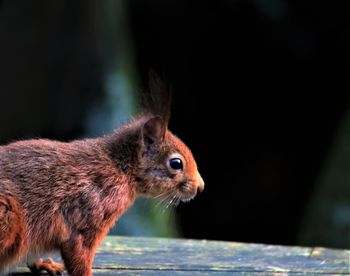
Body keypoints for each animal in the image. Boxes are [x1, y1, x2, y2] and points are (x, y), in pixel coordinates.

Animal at [0, 74, 202, 276]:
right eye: (176, 163)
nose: (200, 187)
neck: (120, 168)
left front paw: (44, 264)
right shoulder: (87, 218)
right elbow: (79, 255)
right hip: (8, 218)